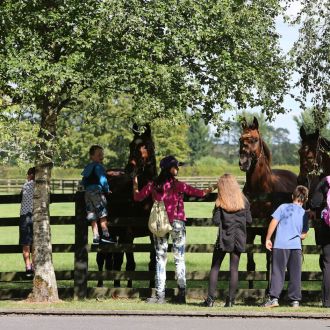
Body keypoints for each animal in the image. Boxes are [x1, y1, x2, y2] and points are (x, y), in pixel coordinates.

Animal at [96, 125, 157, 288]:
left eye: (146, 146)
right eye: (130, 145)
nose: (130, 168)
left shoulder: (153, 234)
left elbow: (153, 263)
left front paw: (153, 287)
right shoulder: (128, 234)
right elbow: (130, 265)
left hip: (115, 233)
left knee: (115, 260)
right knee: (102, 258)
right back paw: (101, 285)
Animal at [237, 116, 296, 288]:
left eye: (255, 139)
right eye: (240, 139)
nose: (243, 162)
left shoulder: (270, 232)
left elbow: (271, 263)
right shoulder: (250, 233)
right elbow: (251, 265)